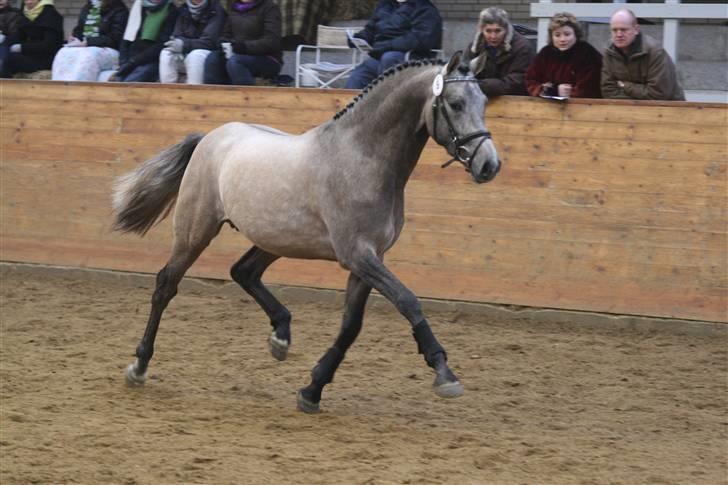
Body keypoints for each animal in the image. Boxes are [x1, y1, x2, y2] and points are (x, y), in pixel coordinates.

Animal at [112, 52, 500, 412]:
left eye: (483, 102)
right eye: (456, 103)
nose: (489, 165)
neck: (363, 158)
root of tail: (211, 136)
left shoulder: (368, 259)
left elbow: (350, 326)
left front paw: (312, 391)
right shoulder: (358, 255)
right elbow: (408, 301)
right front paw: (444, 374)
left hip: (274, 237)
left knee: (243, 271)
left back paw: (281, 337)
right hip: (196, 231)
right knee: (166, 284)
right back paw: (139, 366)